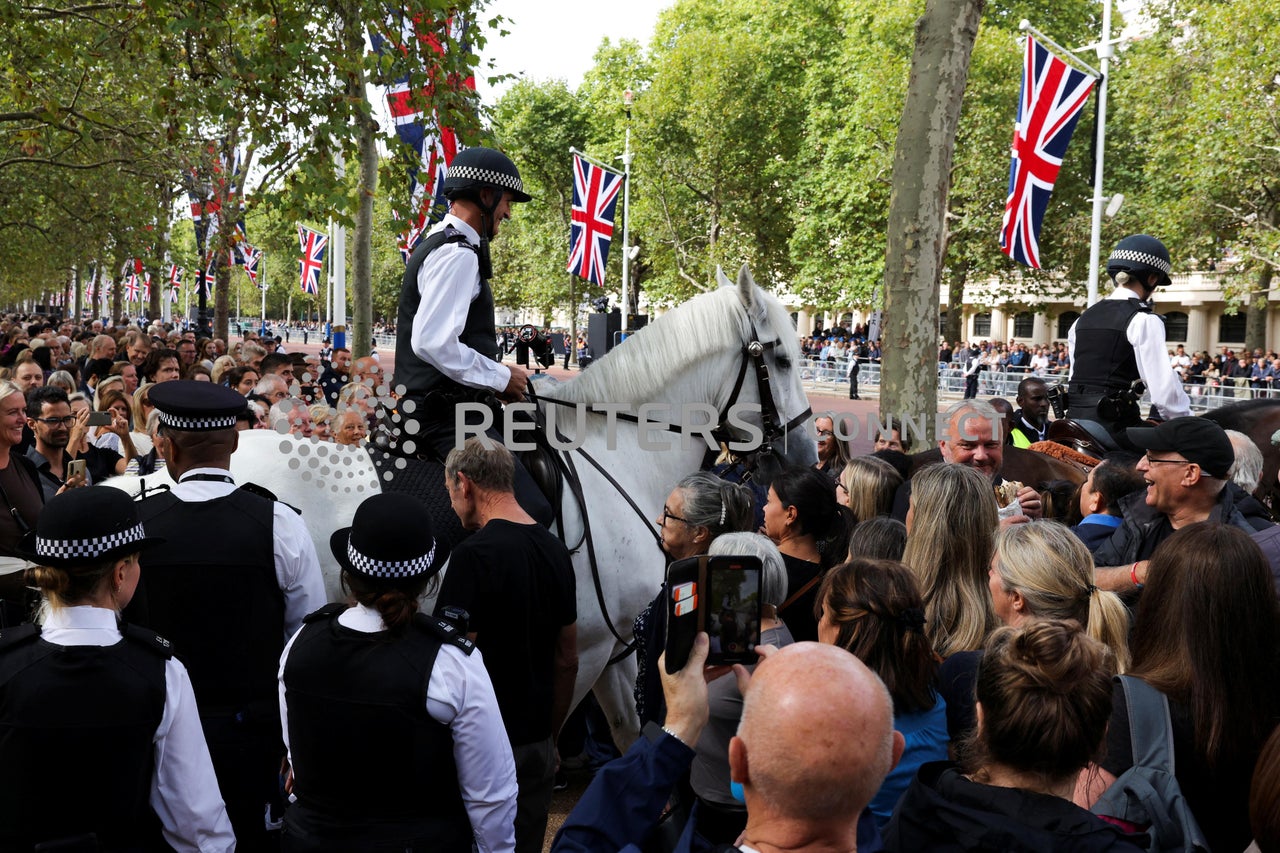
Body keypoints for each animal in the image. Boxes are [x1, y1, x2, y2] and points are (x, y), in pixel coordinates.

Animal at [107, 263, 808, 742]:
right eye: (778, 356)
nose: (801, 452)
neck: (615, 456)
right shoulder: (576, 648)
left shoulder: (611, 648)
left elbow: (629, 730)